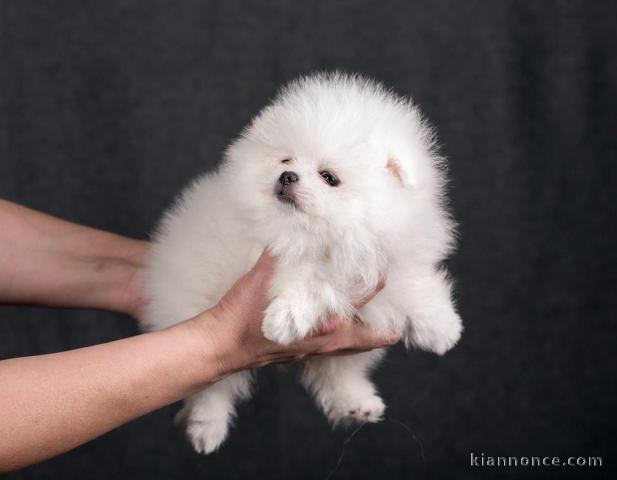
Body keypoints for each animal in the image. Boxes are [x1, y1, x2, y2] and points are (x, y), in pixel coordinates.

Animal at [143, 71, 462, 454]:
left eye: (329, 177)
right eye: (286, 161)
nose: (287, 177)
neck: (326, 236)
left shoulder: (385, 256)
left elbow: (414, 282)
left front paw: (441, 328)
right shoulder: (276, 258)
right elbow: (312, 282)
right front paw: (283, 321)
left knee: (337, 372)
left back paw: (356, 402)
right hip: (194, 308)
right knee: (212, 386)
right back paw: (208, 427)